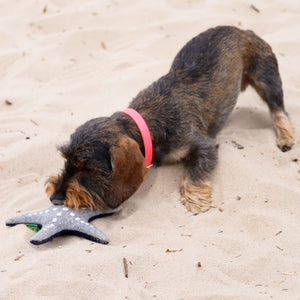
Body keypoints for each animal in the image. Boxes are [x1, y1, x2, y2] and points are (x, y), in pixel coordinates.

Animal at [45, 26, 296, 213]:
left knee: (279, 109)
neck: (148, 122)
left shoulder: (204, 146)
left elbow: (195, 173)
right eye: (66, 160)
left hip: (267, 77)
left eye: (88, 168)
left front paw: (195, 198)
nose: (55, 198)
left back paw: (285, 136)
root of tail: (242, 30)